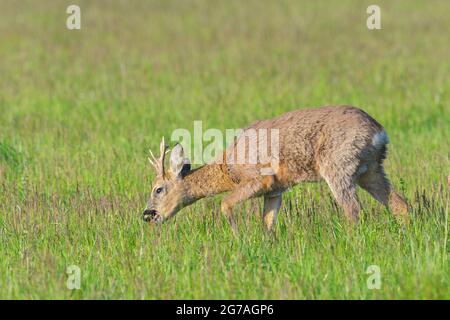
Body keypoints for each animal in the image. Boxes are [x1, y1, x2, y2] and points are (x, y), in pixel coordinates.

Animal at [142, 106, 410, 231]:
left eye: (158, 189)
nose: (147, 215)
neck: (228, 169)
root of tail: (379, 132)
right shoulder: (275, 190)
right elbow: (268, 223)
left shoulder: (259, 179)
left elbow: (225, 204)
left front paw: (238, 238)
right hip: (371, 170)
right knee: (400, 204)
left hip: (338, 166)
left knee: (354, 212)